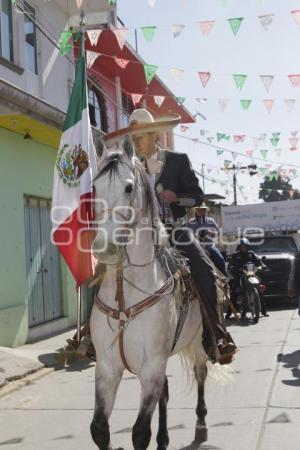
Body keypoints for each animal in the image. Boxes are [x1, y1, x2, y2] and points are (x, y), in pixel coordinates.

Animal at [90, 137, 209, 450]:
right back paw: (164, 438)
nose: (105, 248)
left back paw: (201, 426)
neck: (124, 295)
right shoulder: (107, 366)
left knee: (201, 373)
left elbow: (140, 432)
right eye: (94, 189)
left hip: (199, 341)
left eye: (129, 187)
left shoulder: (151, 364)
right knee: (165, 393)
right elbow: (99, 429)